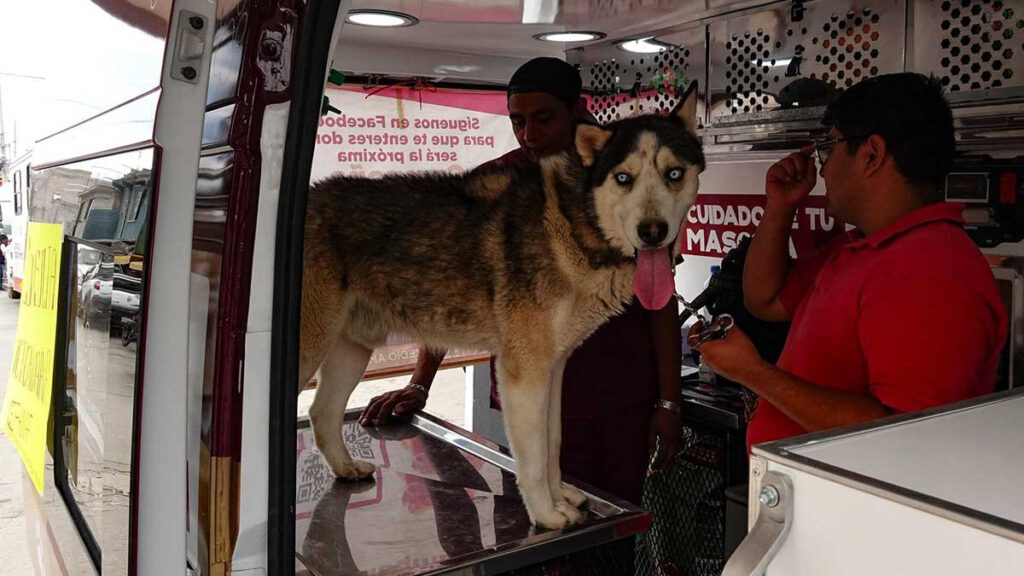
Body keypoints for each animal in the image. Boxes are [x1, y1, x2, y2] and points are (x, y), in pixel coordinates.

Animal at [299, 83, 704, 528]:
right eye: (623, 178)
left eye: (674, 174)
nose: (653, 232)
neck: (574, 220)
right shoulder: (523, 372)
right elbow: (533, 458)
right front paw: (546, 512)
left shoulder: (553, 369)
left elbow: (552, 445)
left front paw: (561, 495)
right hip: (310, 351)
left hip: (352, 350)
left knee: (320, 412)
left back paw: (346, 468)